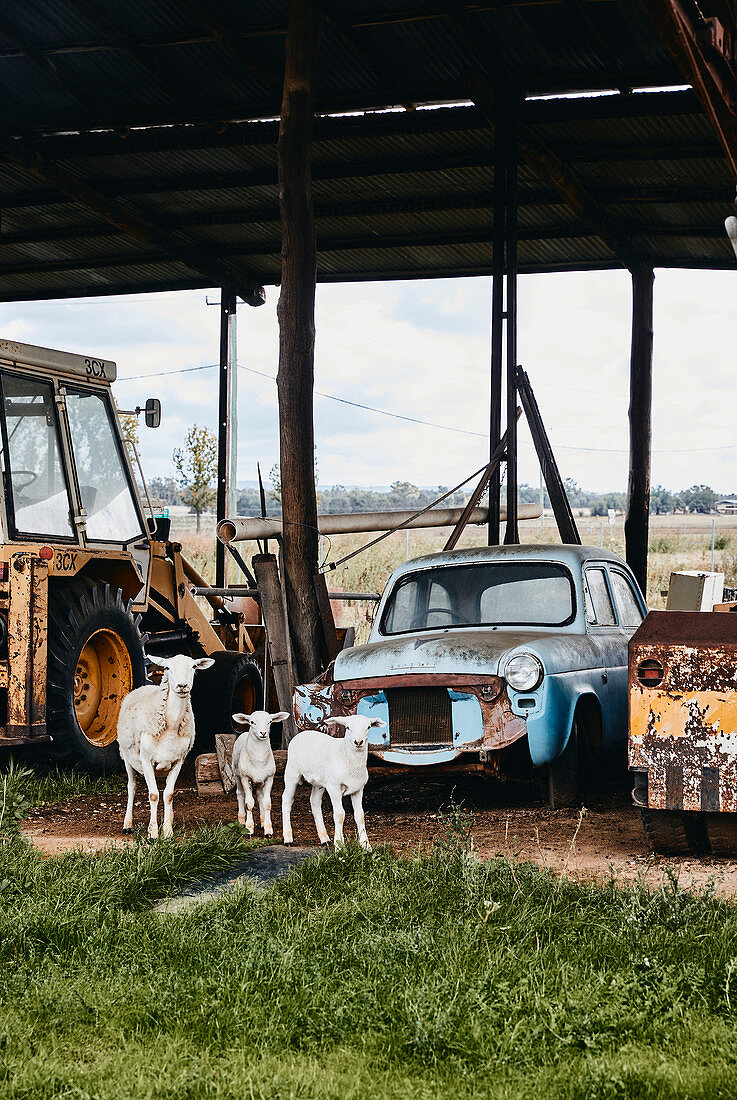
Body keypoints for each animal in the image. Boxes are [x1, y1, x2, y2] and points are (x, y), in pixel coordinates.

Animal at [116, 651, 213, 840]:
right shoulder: (146, 760)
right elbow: (154, 795)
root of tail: (143, 687)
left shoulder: (178, 761)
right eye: (167, 667)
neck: (171, 726)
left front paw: (167, 831)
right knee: (131, 787)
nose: (182, 685)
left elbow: (168, 795)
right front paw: (153, 833)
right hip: (126, 756)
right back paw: (127, 824)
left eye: (194, 666)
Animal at [283, 712, 387, 849]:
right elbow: (339, 814)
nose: (358, 741)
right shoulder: (334, 787)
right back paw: (288, 838)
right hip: (292, 772)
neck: (345, 755)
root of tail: (301, 734)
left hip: (319, 782)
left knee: (315, 802)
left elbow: (360, 815)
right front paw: (339, 845)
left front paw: (366, 845)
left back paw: (324, 839)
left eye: (368, 727)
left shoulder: (358, 788)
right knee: (286, 800)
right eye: (348, 727)